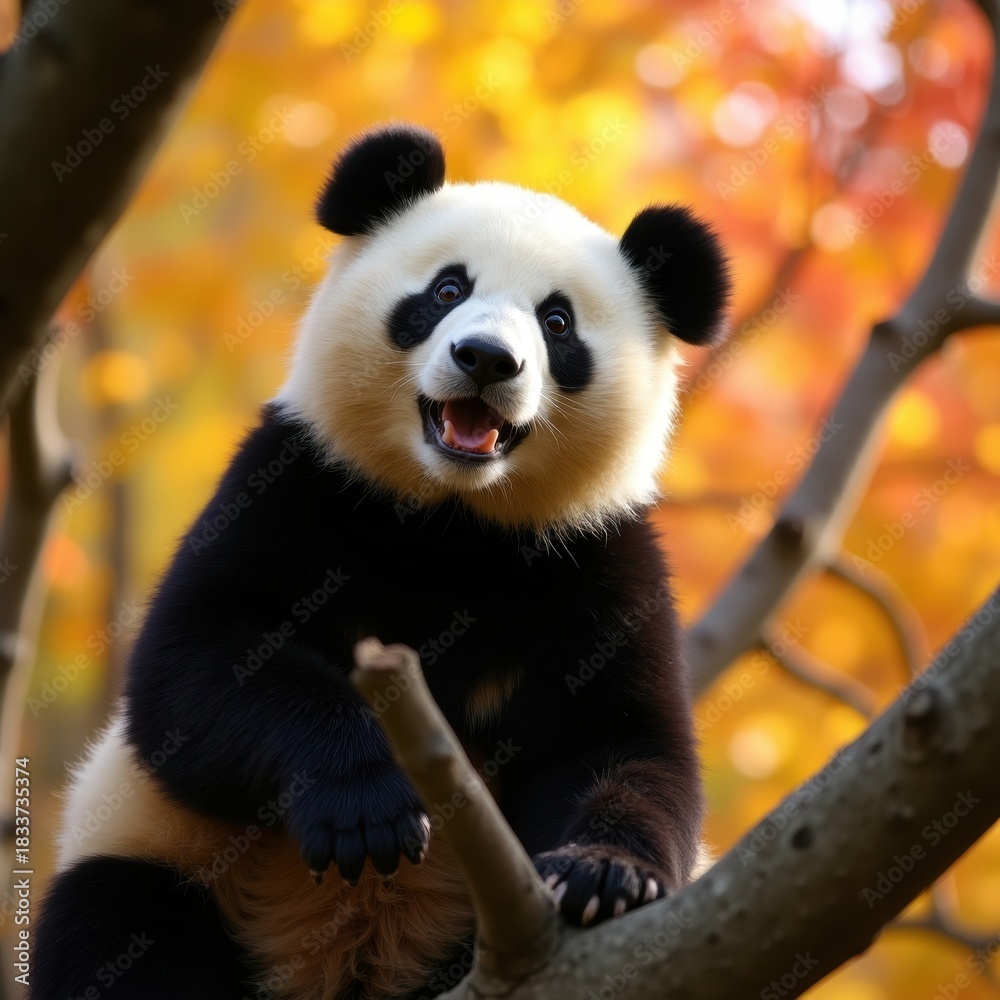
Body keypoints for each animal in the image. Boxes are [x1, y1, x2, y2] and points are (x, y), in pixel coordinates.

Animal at [32, 123, 730, 1000]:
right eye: (445, 290)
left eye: (558, 323)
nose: (486, 358)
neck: (452, 519)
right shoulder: (297, 484)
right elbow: (196, 665)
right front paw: (367, 806)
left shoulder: (594, 557)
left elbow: (624, 742)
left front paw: (604, 875)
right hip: (161, 865)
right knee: (114, 925)